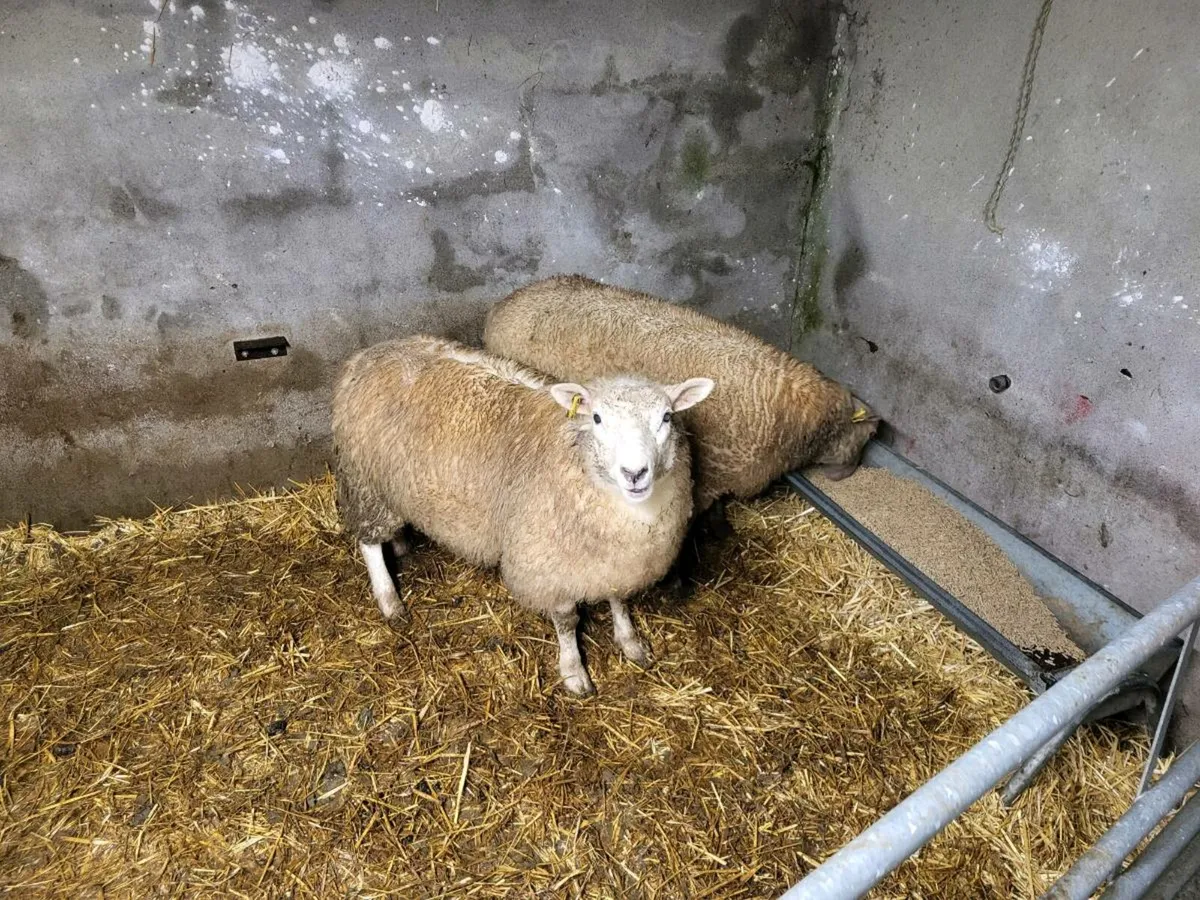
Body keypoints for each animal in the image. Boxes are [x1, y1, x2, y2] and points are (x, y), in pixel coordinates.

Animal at [331, 335, 714, 695]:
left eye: (666, 417)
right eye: (597, 418)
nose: (634, 473)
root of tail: (369, 354)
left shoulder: (612, 561)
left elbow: (618, 601)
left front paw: (630, 642)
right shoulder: (547, 565)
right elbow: (567, 621)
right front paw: (573, 671)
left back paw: (401, 545)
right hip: (366, 482)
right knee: (368, 542)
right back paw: (389, 600)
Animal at [483, 275, 879, 578]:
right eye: (868, 436)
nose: (847, 473)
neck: (790, 414)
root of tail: (507, 299)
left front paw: (722, 531)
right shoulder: (707, 478)